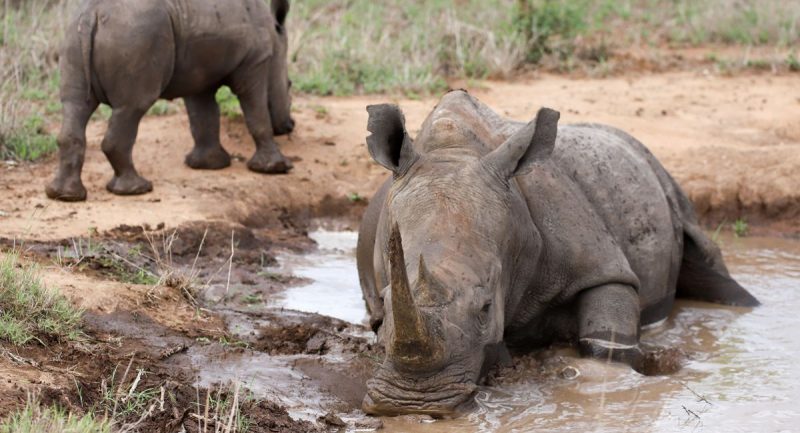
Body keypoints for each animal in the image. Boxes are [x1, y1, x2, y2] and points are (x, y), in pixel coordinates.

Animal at [46, 0, 295, 202]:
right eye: (290, 84)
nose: (289, 125)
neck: (274, 34)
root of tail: (93, 13)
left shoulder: (198, 75)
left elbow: (203, 117)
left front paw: (208, 165)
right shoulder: (254, 62)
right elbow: (256, 112)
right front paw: (278, 168)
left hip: (76, 34)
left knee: (75, 104)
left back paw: (64, 195)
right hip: (135, 34)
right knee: (133, 107)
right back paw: (138, 189)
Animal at [356, 90, 759, 416]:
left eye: (486, 308)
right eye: (383, 306)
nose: (412, 403)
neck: (454, 151)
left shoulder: (601, 264)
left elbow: (608, 328)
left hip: (665, 179)